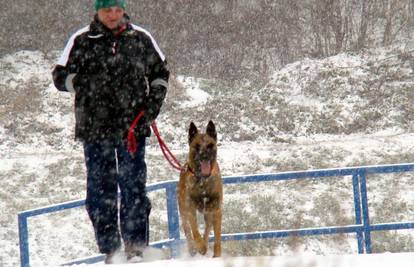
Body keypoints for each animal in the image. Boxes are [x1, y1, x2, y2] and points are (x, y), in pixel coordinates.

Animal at [178, 121, 223, 258]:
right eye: (196, 146)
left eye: (210, 145)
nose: (204, 156)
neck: (203, 180)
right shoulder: (190, 209)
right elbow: (195, 230)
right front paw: (200, 246)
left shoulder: (216, 210)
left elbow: (217, 236)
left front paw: (216, 255)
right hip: (183, 211)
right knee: (187, 230)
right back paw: (193, 249)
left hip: (208, 213)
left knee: (207, 229)